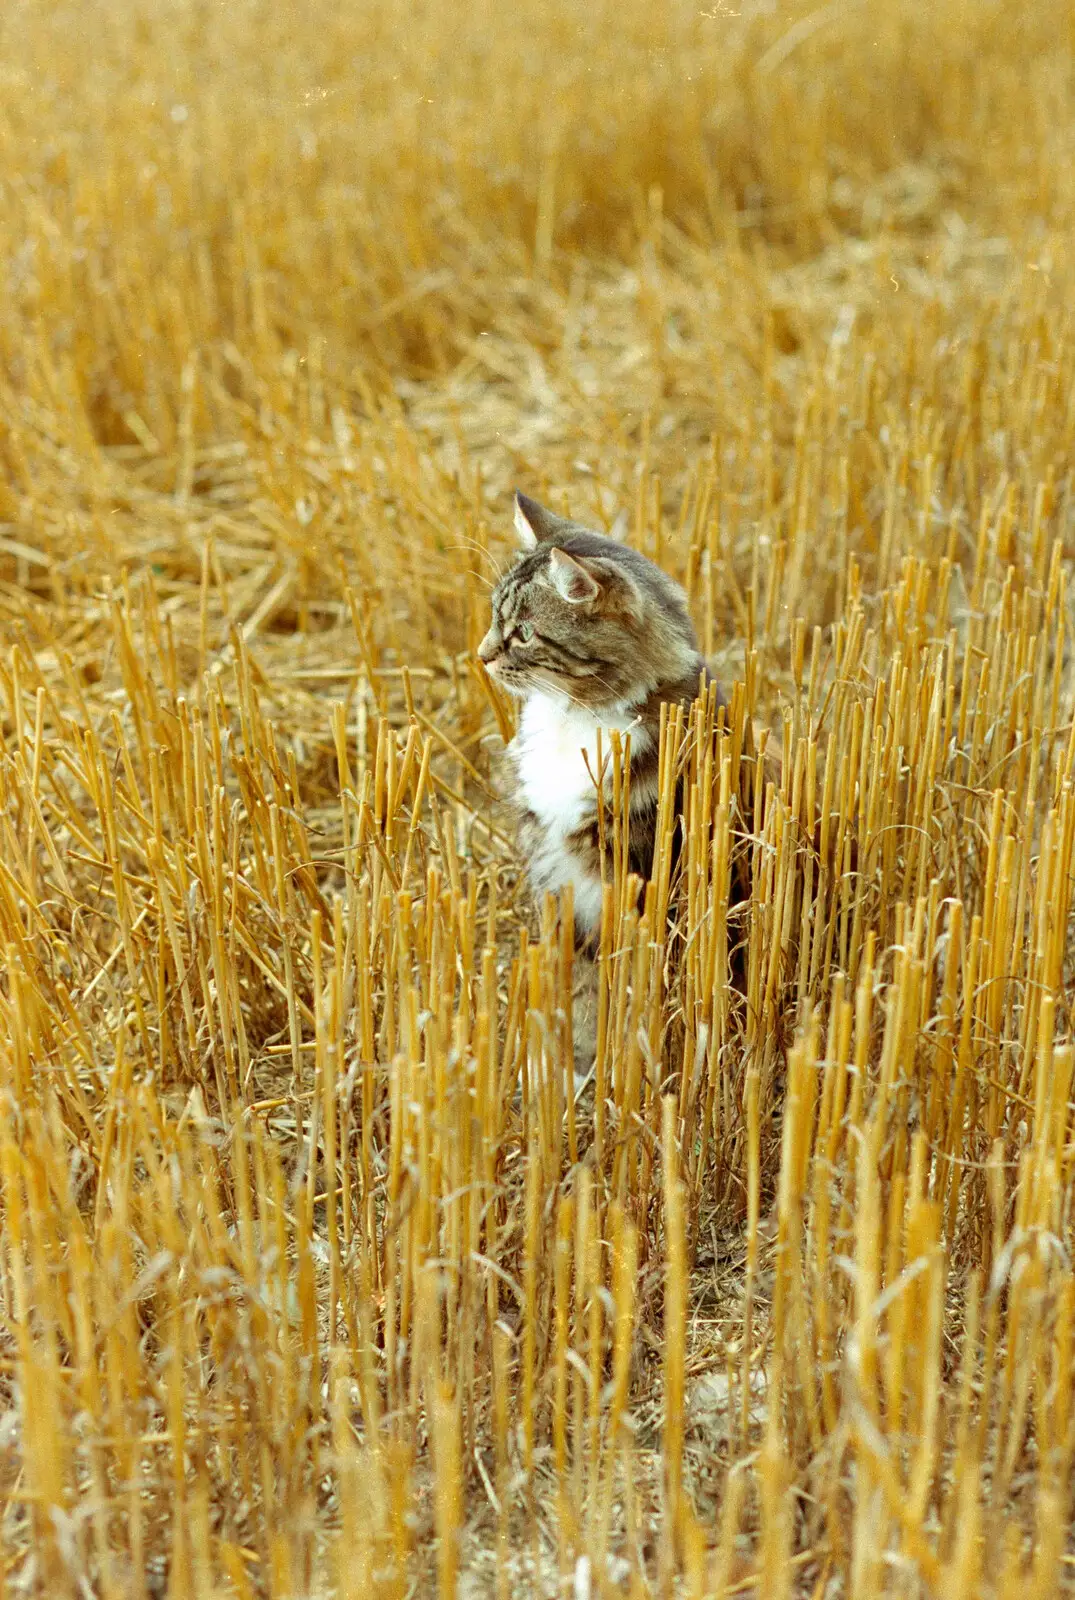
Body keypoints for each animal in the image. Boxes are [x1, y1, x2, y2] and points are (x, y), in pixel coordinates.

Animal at [483, 489, 726, 1088]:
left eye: (523, 633)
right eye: (494, 617)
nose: (480, 655)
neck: (573, 718)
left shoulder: (635, 883)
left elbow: (630, 995)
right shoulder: (559, 886)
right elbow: (580, 989)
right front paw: (568, 1070)